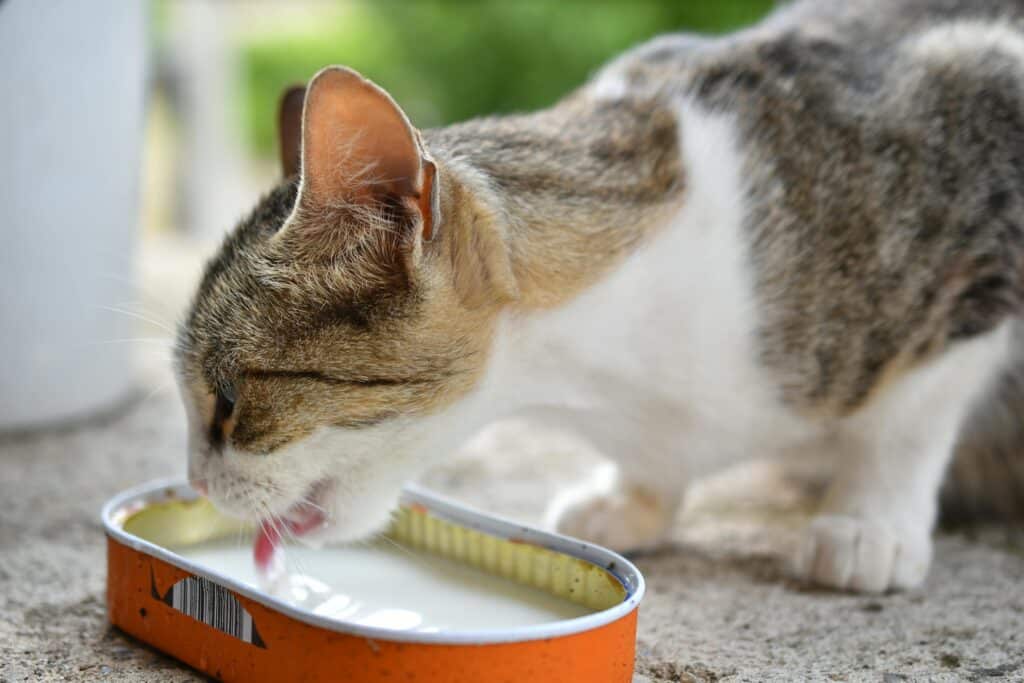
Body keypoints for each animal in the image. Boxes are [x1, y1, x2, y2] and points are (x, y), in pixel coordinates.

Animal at [176, 0, 1024, 593]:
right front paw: (637, 495)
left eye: (229, 398)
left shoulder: (984, 175)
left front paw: (868, 517)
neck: (607, 382)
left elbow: (911, 414)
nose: (193, 481)